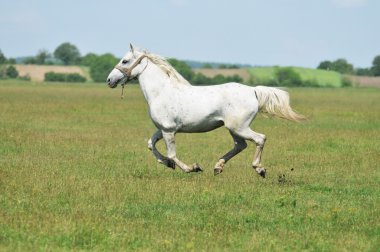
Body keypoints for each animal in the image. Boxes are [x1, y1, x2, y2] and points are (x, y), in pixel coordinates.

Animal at [106, 44, 302, 177]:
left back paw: (259, 169)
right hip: (234, 129)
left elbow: (172, 154)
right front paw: (167, 164)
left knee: (260, 139)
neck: (161, 92)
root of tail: (253, 90)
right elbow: (150, 144)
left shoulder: (168, 130)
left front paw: (192, 168)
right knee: (240, 145)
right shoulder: (163, 129)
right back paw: (218, 167)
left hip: (239, 127)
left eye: (125, 60)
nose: (109, 80)